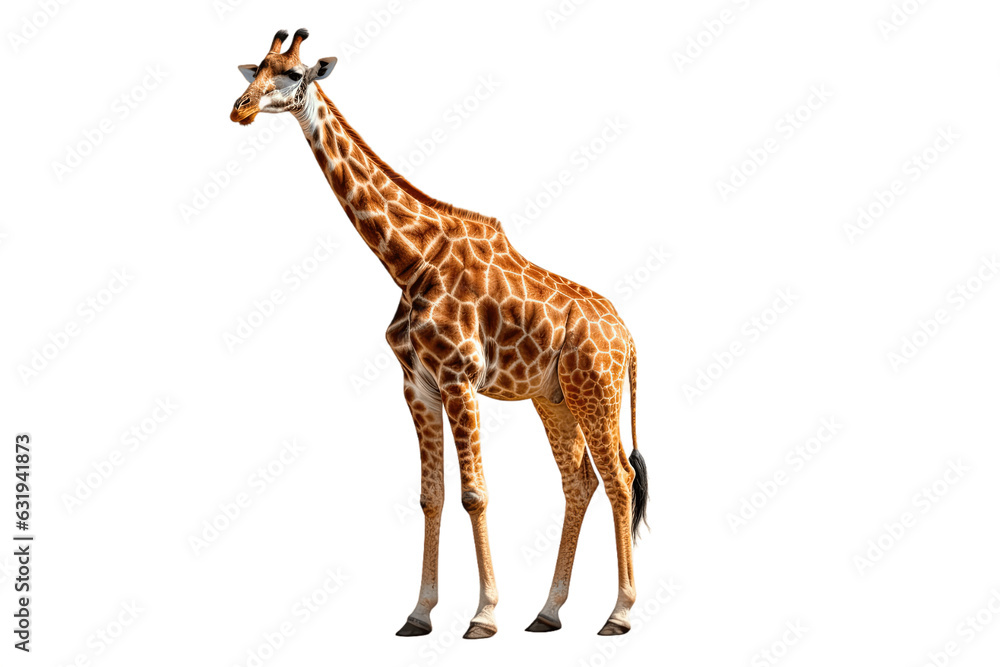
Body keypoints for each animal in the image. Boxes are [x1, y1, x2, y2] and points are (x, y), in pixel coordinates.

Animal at [230, 29, 649, 638]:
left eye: (290, 74)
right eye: (254, 70)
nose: (238, 109)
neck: (409, 262)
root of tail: (627, 335)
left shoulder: (458, 379)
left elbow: (474, 494)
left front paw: (484, 614)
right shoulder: (417, 386)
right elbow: (431, 496)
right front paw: (419, 613)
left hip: (596, 387)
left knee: (618, 477)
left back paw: (618, 613)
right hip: (555, 398)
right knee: (581, 482)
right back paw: (548, 612)